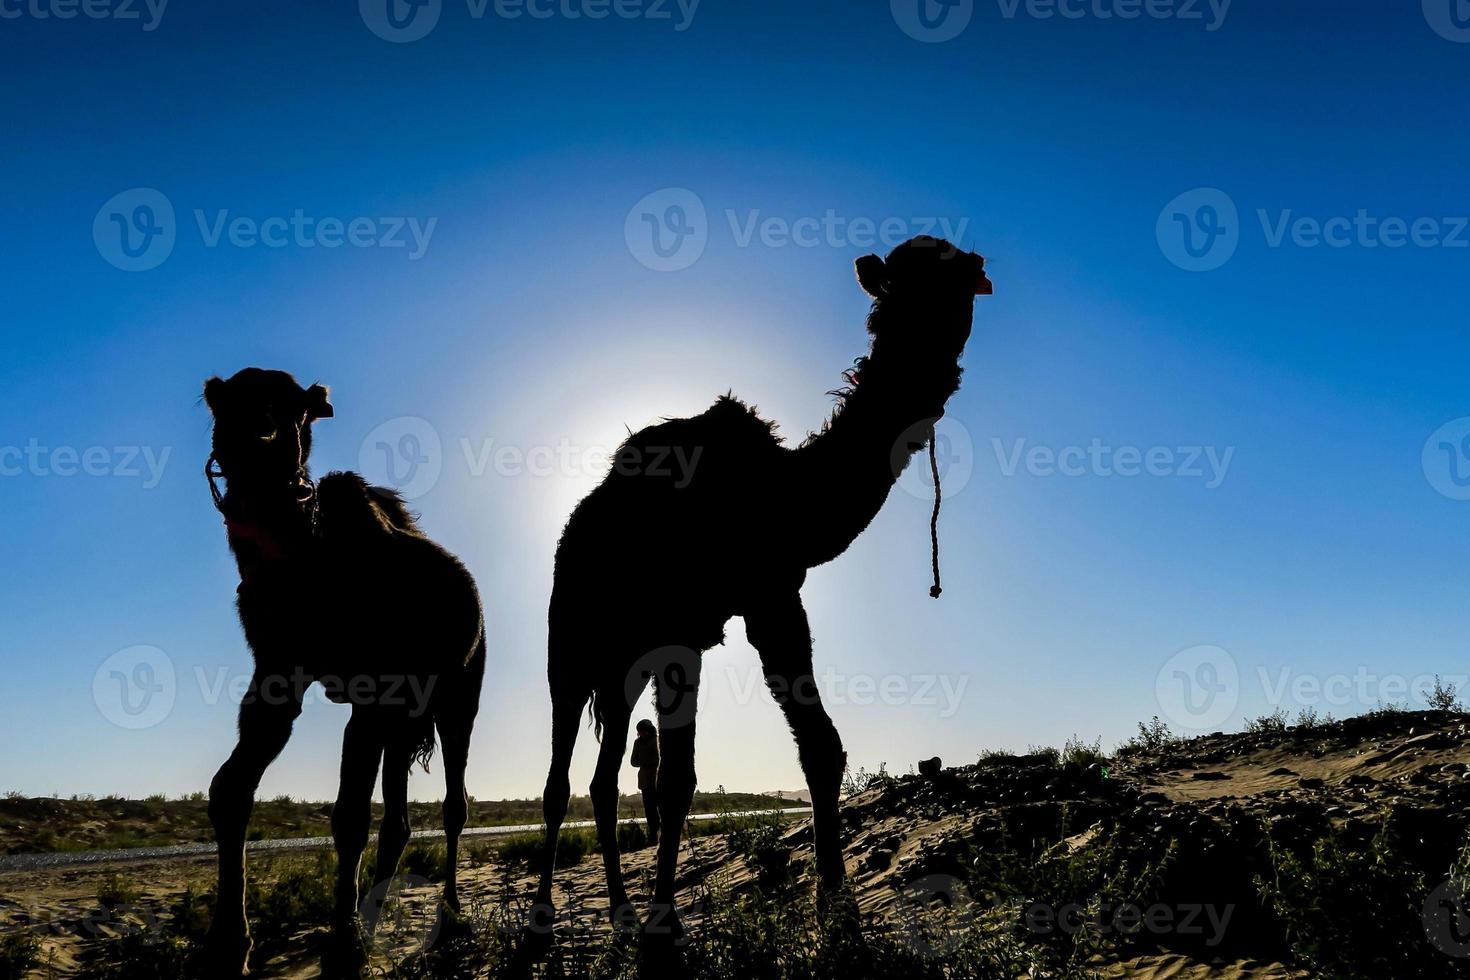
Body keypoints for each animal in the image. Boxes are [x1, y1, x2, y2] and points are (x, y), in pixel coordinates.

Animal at [201, 370, 485, 980]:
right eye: (222, 402)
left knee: (453, 804)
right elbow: (230, 789)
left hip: (459, 695)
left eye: (296, 407)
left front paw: (344, 949)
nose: (255, 434)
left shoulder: (372, 690)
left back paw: (450, 914)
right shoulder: (278, 672)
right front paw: (227, 946)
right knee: (398, 819)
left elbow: (350, 815)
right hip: (406, 715)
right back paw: (377, 923)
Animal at [529, 238, 987, 940]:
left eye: (958, 274)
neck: (784, 496)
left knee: (604, 779)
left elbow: (814, 748)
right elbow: (680, 776)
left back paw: (620, 908)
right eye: (909, 279)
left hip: (623, 665)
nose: (976, 270)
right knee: (559, 777)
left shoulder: (767, 598)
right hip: (572, 644)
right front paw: (669, 918)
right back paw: (544, 918)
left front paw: (836, 908)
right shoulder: (707, 623)